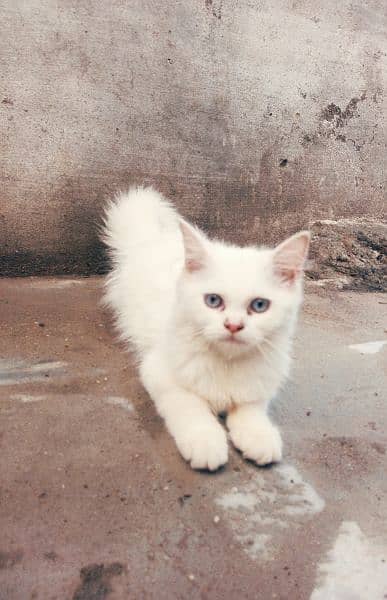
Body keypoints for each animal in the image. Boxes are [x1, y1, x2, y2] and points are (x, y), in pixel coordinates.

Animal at [102, 185, 310, 472]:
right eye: (213, 301)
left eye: (259, 305)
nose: (233, 325)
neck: (227, 363)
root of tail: (155, 240)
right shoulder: (159, 374)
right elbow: (191, 407)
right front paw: (206, 441)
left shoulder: (260, 383)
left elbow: (251, 409)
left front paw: (258, 436)